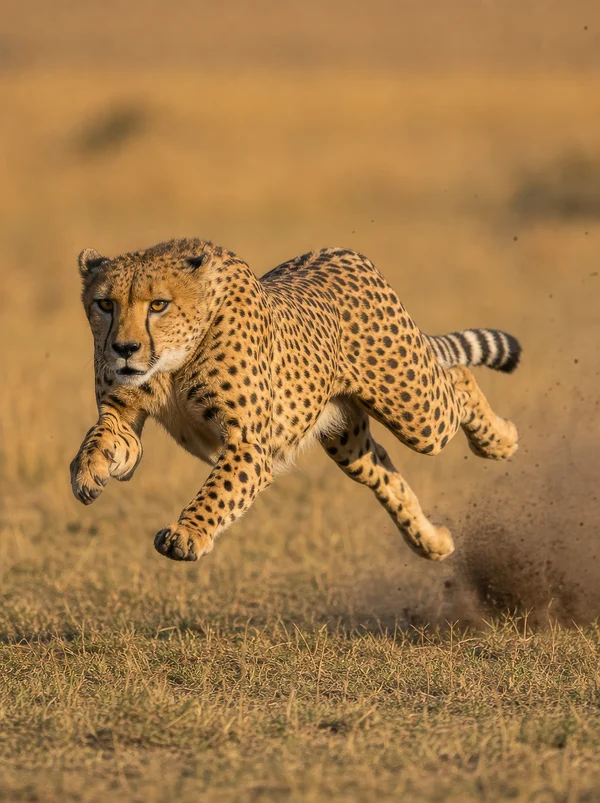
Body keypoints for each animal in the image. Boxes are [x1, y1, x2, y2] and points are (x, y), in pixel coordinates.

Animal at [70, 238, 521, 563]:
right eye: (105, 304)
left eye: (158, 305)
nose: (124, 349)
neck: (173, 361)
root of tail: (343, 252)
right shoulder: (124, 413)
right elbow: (103, 437)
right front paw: (88, 472)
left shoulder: (248, 444)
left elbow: (219, 490)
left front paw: (188, 533)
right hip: (345, 440)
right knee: (384, 472)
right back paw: (432, 543)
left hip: (415, 409)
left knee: (457, 378)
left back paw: (499, 441)